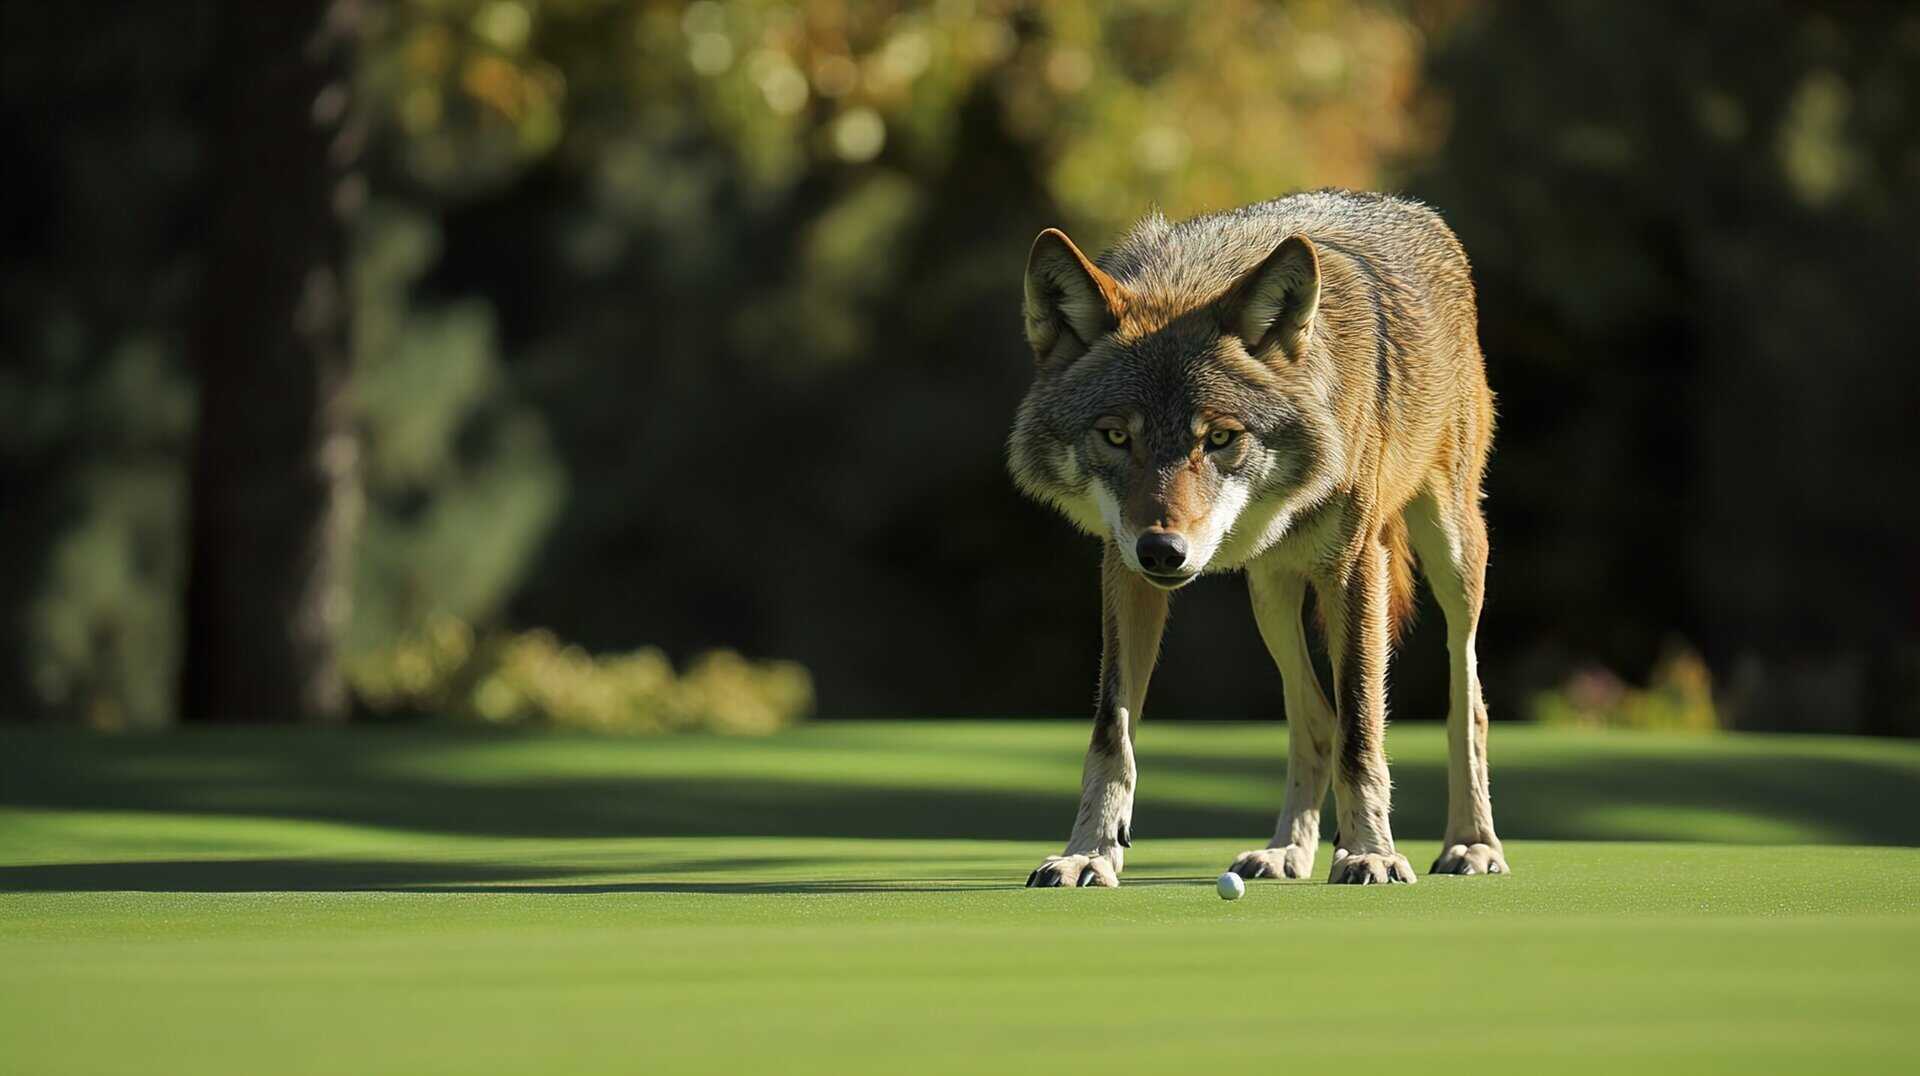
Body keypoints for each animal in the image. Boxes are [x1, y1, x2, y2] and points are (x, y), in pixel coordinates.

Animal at [1008, 189, 1507, 887]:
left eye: (1219, 436)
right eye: (1116, 436)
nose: (1163, 551)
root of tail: (1410, 208)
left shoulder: (1357, 565)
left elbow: (1363, 730)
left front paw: (1372, 853)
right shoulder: (1124, 571)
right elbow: (1112, 732)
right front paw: (1090, 853)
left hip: (1453, 557)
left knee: (1468, 705)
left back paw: (1472, 843)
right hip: (1270, 592)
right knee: (1314, 718)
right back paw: (1286, 852)